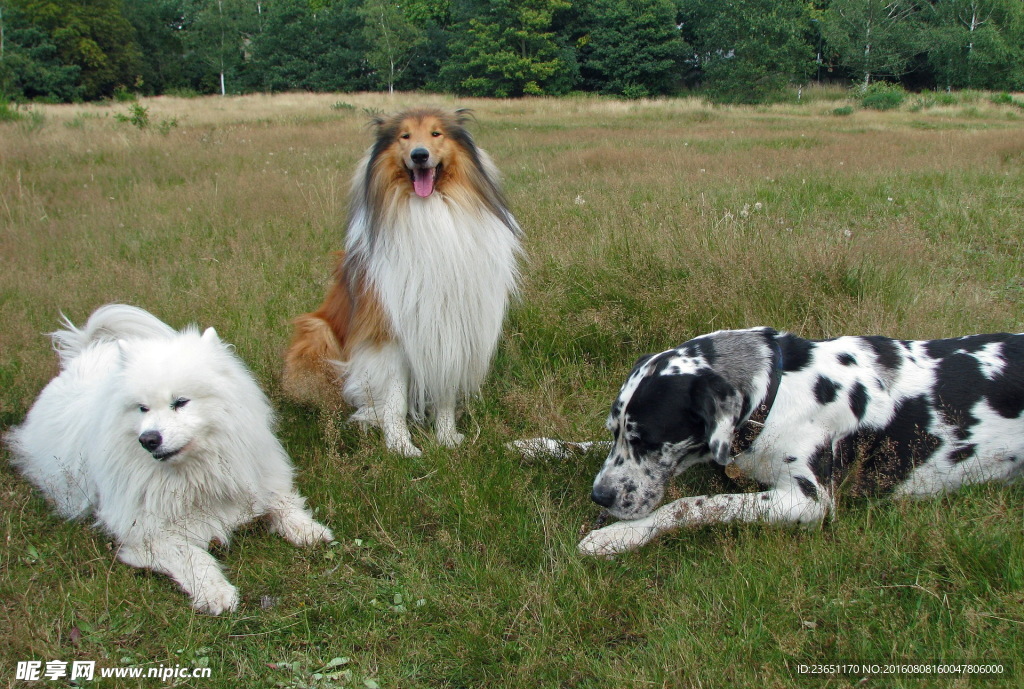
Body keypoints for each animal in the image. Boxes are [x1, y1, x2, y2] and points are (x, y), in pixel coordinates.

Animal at [6, 305, 333, 614]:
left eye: (180, 402)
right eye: (142, 408)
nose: (149, 439)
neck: (197, 473)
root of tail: (85, 353)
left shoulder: (259, 478)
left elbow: (283, 504)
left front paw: (310, 531)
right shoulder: (150, 534)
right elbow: (194, 557)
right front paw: (216, 593)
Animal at [286, 107, 524, 456]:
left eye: (437, 133)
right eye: (405, 136)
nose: (419, 155)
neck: (427, 210)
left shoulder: (449, 325)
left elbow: (444, 390)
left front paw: (446, 436)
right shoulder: (390, 330)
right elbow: (395, 398)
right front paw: (400, 445)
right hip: (317, 332)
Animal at [552, 325, 1024, 556]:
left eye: (648, 440)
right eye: (616, 431)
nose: (599, 497)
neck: (776, 393)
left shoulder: (807, 500)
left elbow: (691, 504)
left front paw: (619, 536)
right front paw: (546, 446)